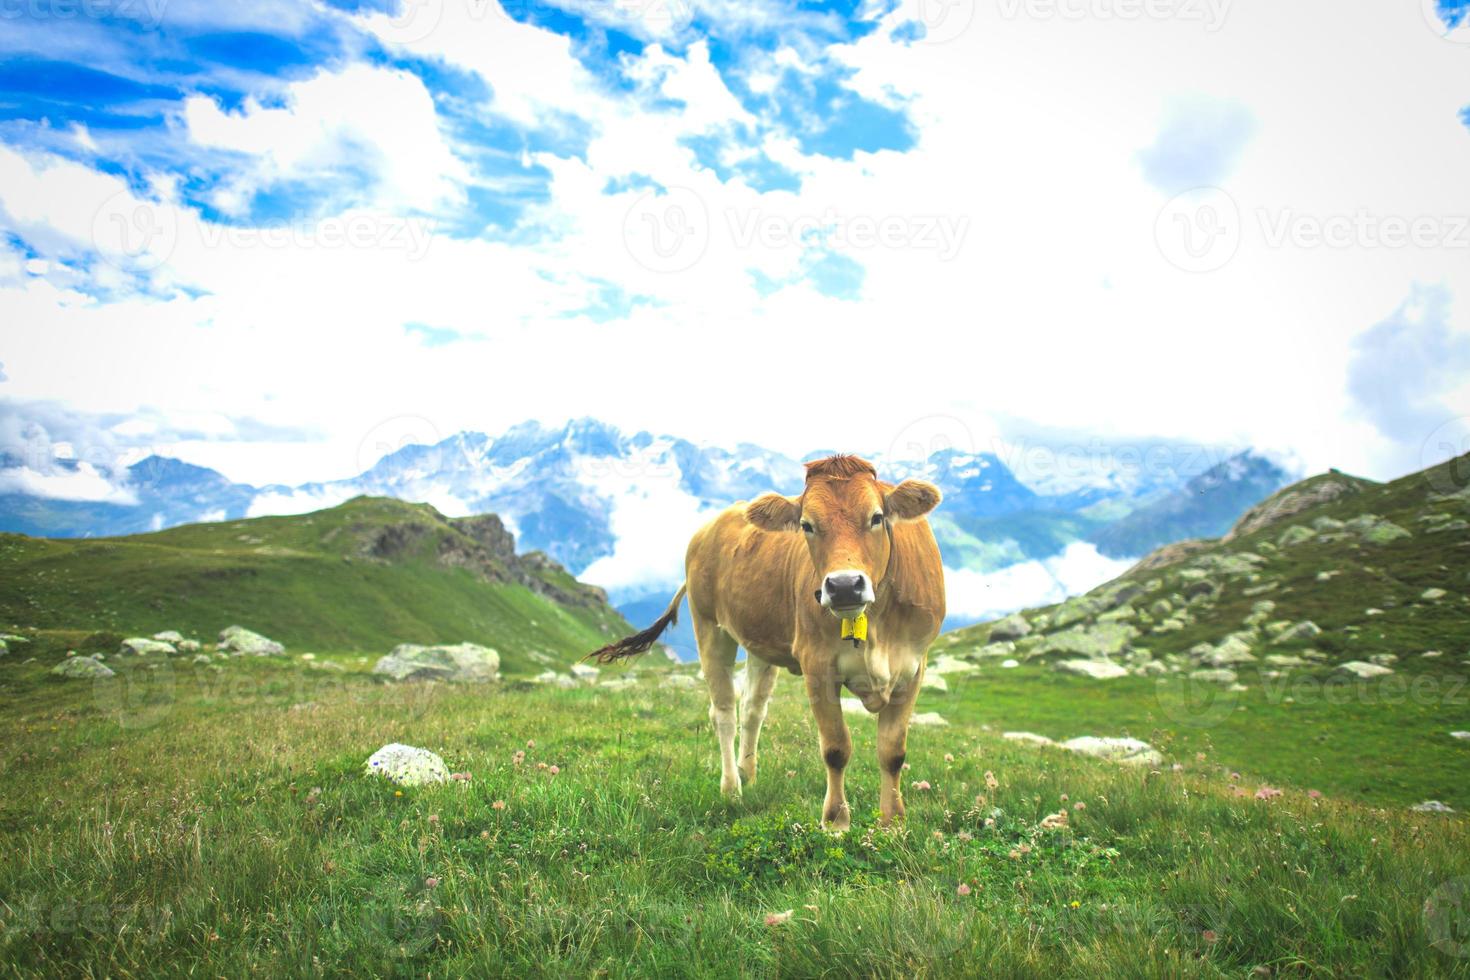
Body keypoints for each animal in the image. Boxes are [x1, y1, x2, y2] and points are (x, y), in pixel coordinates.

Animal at [585, 452, 940, 828]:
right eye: (807, 525)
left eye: (876, 517)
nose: (844, 586)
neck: (873, 626)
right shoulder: (817, 666)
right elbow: (836, 748)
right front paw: (835, 823)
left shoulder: (913, 667)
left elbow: (893, 752)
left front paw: (893, 823)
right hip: (709, 626)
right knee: (724, 711)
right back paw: (732, 787)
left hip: (760, 643)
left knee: (752, 709)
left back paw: (748, 773)